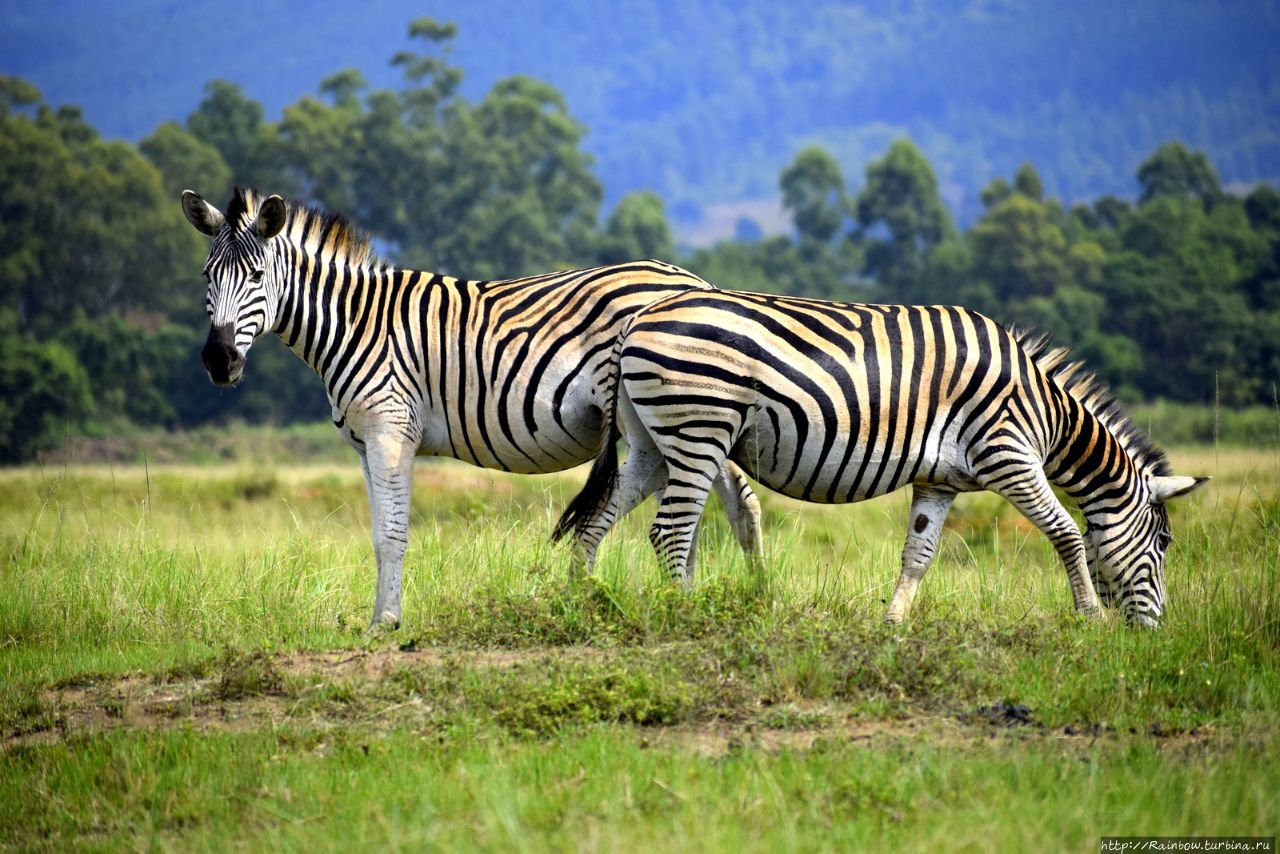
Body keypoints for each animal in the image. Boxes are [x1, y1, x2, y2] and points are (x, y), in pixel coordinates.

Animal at [180, 186, 757, 627]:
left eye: (257, 277)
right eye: (207, 277)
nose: (218, 360)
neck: (356, 322)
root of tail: (696, 282)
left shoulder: (392, 430)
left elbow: (393, 535)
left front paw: (386, 625)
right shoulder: (365, 446)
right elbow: (376, 537)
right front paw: (378, 618)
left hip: (680, 413)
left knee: (727, 500)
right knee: (718, 502)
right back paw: (727, 593)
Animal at [552, 290, 1208, 632]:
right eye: (1165, 544)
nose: (1155, 633)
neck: (1042, 409)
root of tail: (639, 317)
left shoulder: (940, 479)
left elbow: (919, 554)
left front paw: (892, 625)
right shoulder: (1009, 454)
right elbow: (1068, 533)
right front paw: (1090, 616)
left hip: (651, 442)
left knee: (600, 518)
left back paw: (583, 597)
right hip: (699, 428)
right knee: (670, 531)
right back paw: (685, 612)